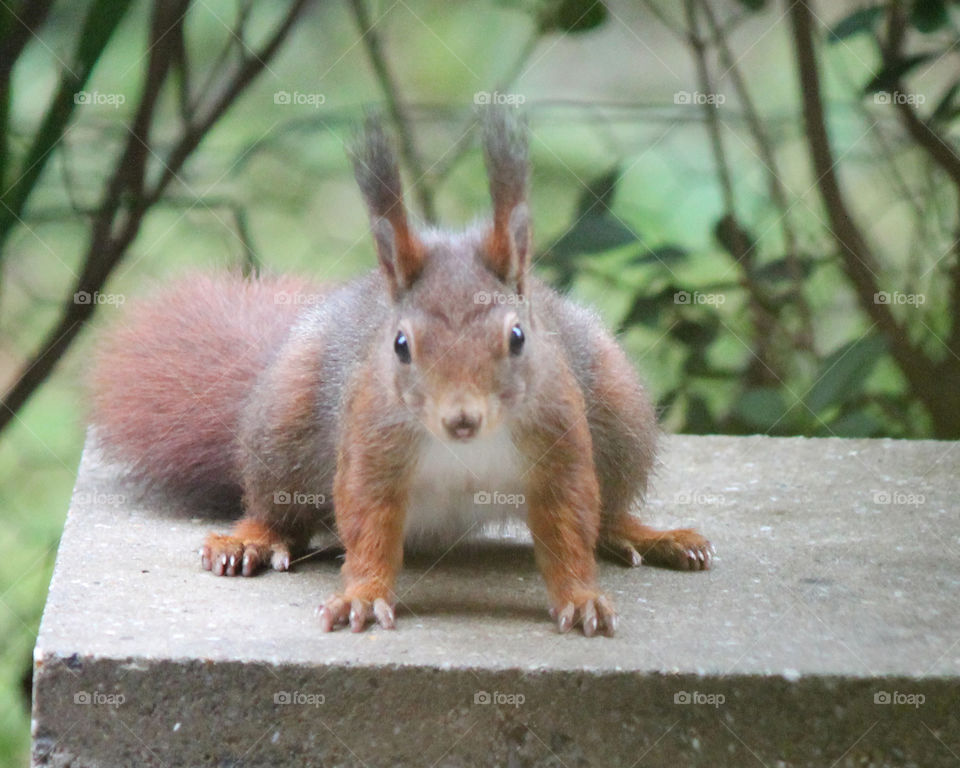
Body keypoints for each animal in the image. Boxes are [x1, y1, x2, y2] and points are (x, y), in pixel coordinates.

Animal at [89, 107, 713, 638]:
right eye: (401, 345)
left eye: (517, 337)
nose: (461, 419)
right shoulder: (372, 437)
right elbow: (368, 518)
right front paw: (362, 595)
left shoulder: (558, 437)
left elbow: (570, 521)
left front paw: (581, 598)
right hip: (284, 426)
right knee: (276, 509)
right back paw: (249, 541)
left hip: (616, 406)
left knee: (607, 511)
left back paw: (649, 535)